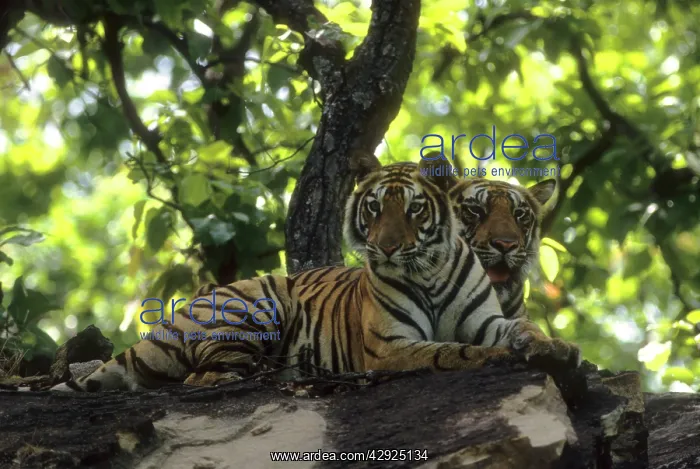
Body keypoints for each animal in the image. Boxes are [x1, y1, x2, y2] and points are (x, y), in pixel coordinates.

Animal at [51, 155, 578, 392]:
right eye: (374, 209)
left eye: (414, 210)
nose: (387, 247)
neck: (429, 270)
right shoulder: (393, 346)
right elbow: (452, 350)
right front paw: (497, 357)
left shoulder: (488, 319)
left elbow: (526, 328)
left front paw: (556, 347)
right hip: (257, 306)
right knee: (200, 377)